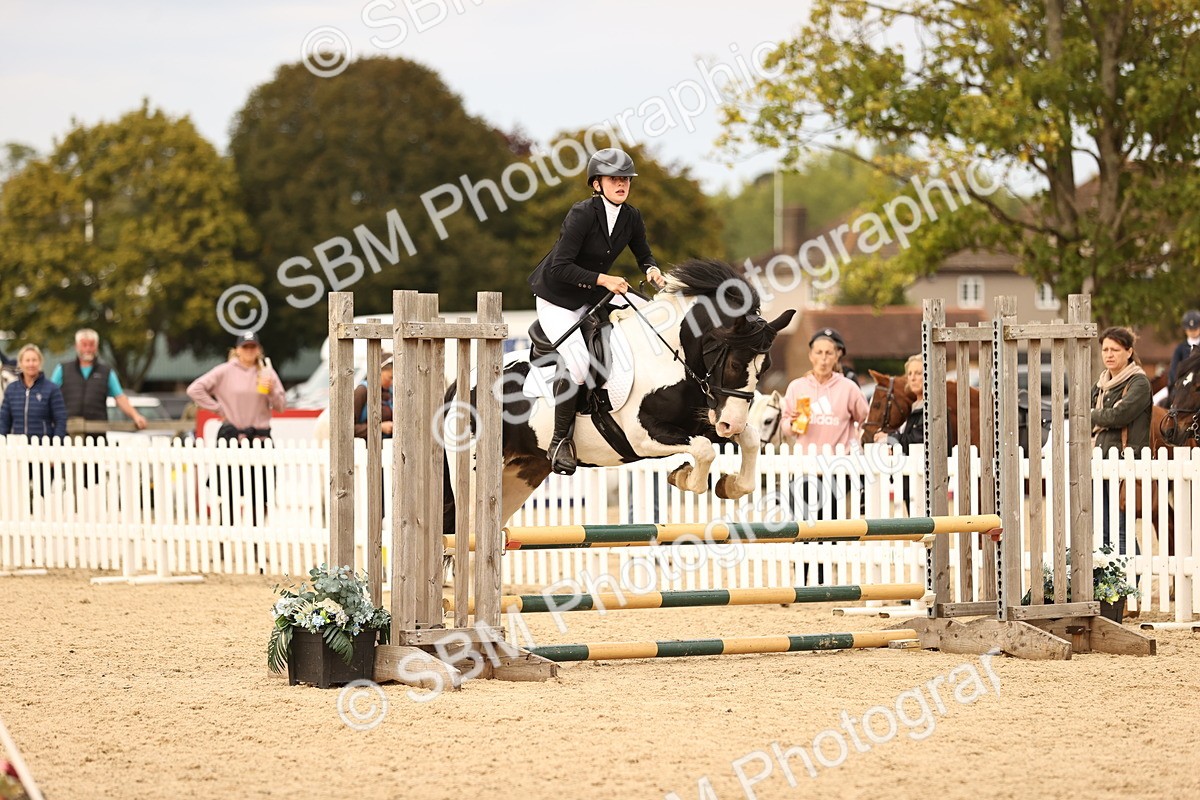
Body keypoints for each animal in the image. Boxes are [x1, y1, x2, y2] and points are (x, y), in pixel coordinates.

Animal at [447, 259, 795, 528]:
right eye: (735, 364)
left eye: (764, 368)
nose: (731, 424)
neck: (673, 357)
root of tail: (459, 387)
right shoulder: (642, 437)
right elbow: (704, 449)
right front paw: (684, 477)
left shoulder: (706, 419)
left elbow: (746, 442)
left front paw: (728, 484)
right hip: (477, 471)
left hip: (523, 471)